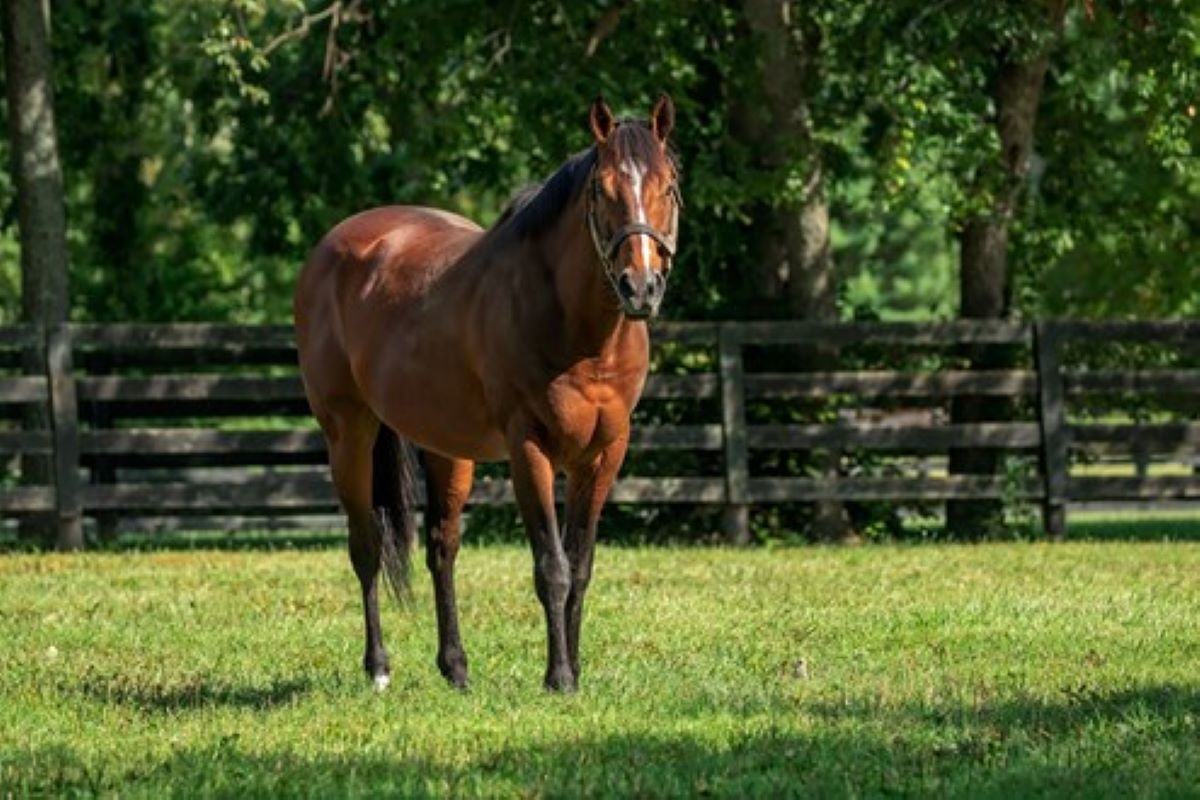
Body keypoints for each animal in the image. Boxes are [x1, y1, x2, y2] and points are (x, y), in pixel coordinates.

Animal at [294, 95, 681, 695]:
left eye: (669, 185)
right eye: (602, 189)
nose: (640, 287)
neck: (581, 334)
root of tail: (336, 246)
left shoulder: (605, 453)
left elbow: (581, 565)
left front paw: (574, 670)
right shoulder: (529, 448)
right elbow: (552, 567)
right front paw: (558, 677)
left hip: (446, 447)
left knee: (442, 547)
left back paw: (456, 668)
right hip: (347, 433)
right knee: (366, 545)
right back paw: (379, 668)